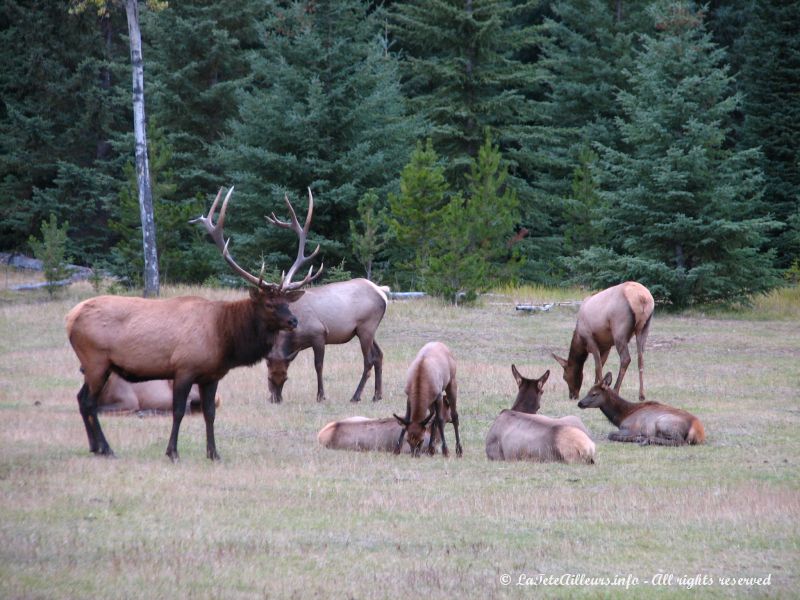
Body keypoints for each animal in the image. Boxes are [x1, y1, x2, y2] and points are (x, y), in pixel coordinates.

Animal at [65, 188, 322, 460]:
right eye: (270, 303)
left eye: (287, 301)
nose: (293, 320)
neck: (224, 337)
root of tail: (70, 317)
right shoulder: (184, 368)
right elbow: (179, 411)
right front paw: (172, 452)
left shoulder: (212, 375)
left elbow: (210, 413)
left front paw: (213, 453)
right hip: (96, 360)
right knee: (89, 401)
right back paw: (106, 447)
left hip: (96, 365)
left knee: (81, 398)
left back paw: (95, 447)